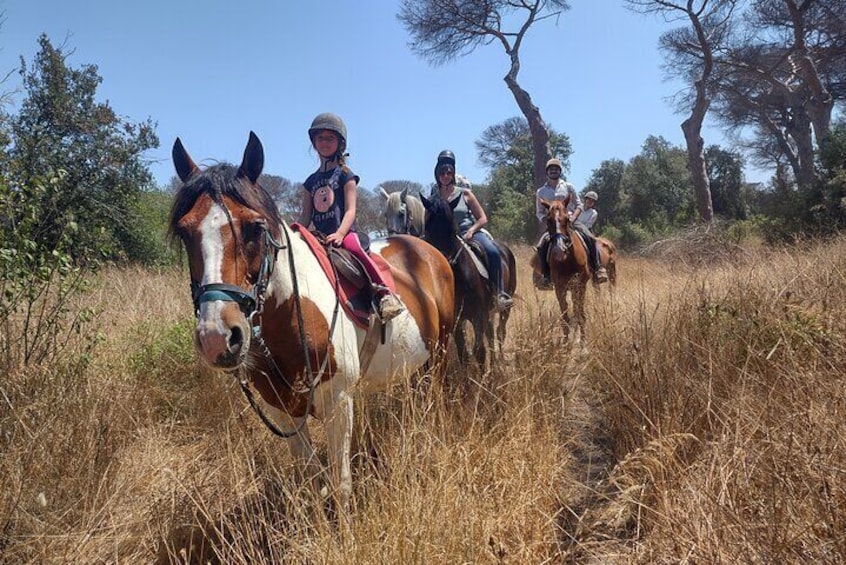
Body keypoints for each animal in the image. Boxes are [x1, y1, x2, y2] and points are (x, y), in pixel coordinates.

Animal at [167, 133, 458, 512]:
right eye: (185, 233)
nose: (217, 337)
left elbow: (341, 485)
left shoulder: (338, 401)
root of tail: (428, 250)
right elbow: (309, 478)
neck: (291, 315)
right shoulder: (283, 410)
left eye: (254, 227)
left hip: (440, 353)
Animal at [532, 198, 620, 348]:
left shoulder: (579, 285)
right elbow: (565, 314)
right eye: (548, 220)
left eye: (567, 219)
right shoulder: (560, 286)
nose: (559, 250)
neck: (567, 259)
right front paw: (566, 341)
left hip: (611, 272)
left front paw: (583, 343)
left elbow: (579, 312)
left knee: (611, 289)